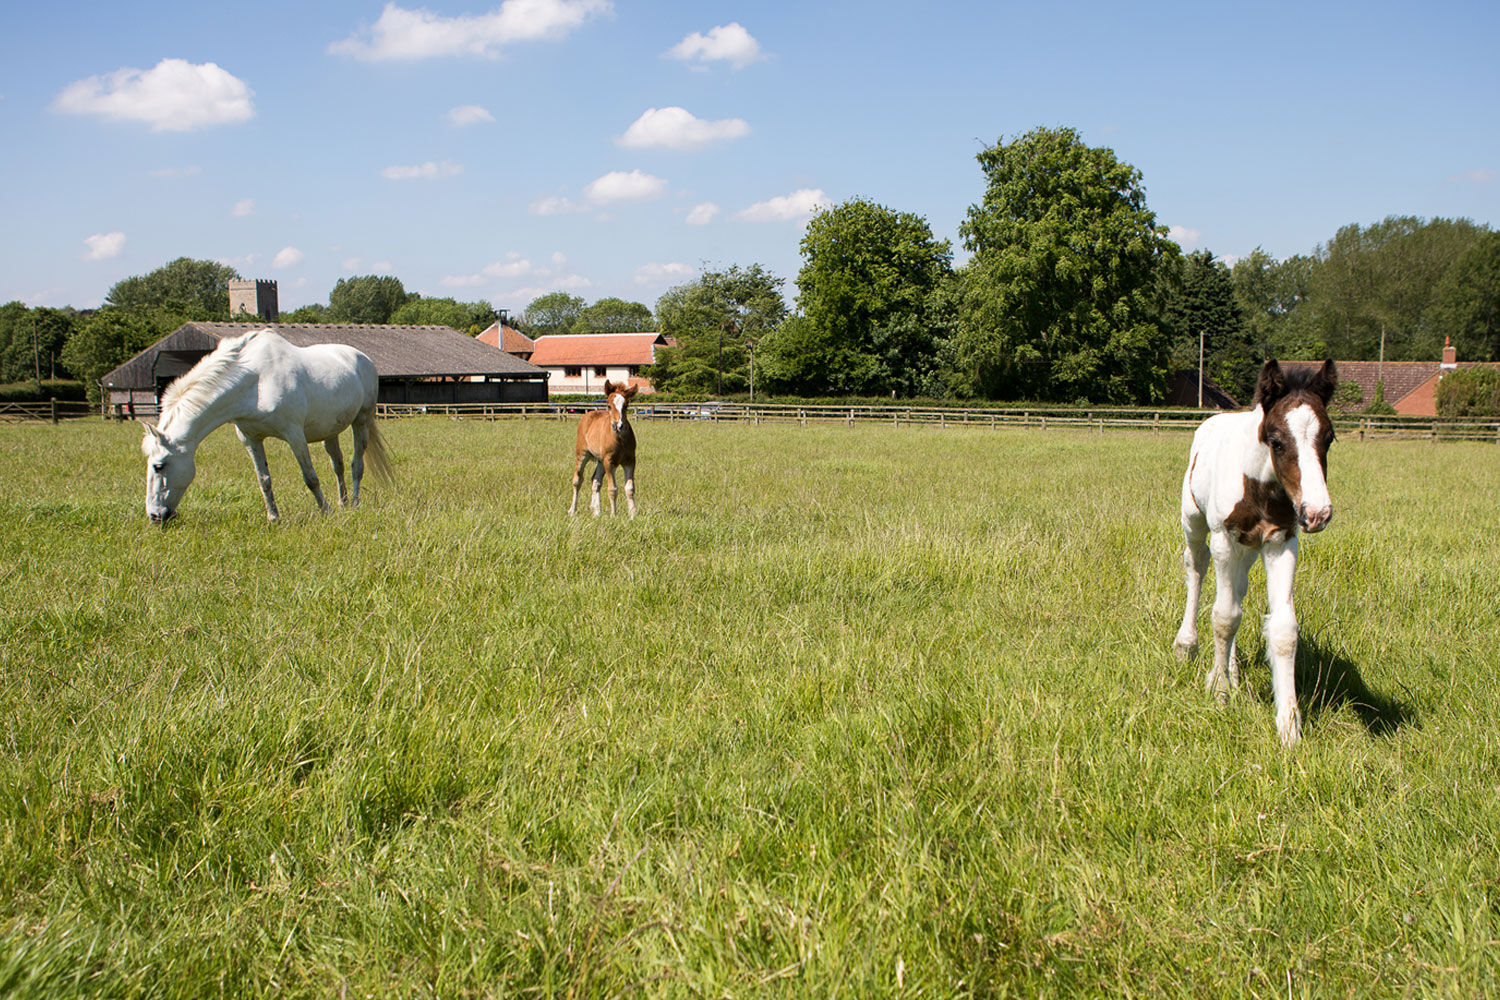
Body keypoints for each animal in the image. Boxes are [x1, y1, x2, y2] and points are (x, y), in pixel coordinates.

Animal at [139, 332, 393, 527]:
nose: (154, 516)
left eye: (159, 466)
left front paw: (325, 511)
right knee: (337, 466)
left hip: (361, 421)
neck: (256, 381)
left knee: (356, 465)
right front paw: (274, 518)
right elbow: (264, 480)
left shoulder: (294, 435)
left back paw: (355, 504)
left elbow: (310, 477)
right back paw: (343, 503)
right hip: (330, 431)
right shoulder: (251, 439)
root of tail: (362, 357)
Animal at [1170, 358, 1338, 743]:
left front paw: (1289, 726)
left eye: (1329, 437)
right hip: (1195, 523)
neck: (1259, 485)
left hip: (1247, 550)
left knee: (1237, 592)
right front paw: (1218, 692)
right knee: (1197, 568)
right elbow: (1223, 617)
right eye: (1276, 440)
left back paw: (1231, 668)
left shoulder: (1281, 541)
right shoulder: (1224, 538)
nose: (1317, 513)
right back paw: (1187, 645)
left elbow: (1283, 630)